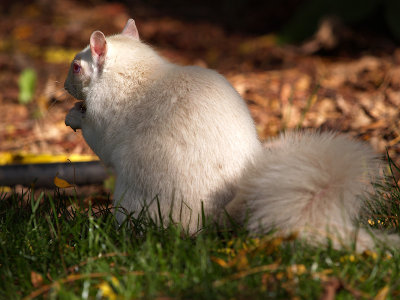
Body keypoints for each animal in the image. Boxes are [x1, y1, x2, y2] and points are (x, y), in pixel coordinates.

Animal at [65, 18, 396, 251]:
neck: (134, 72)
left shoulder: (107, 117)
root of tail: (215, 217)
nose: (65, 86)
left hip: (135, 198)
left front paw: (73, 115)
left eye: (76, 67)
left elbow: (98, 140)